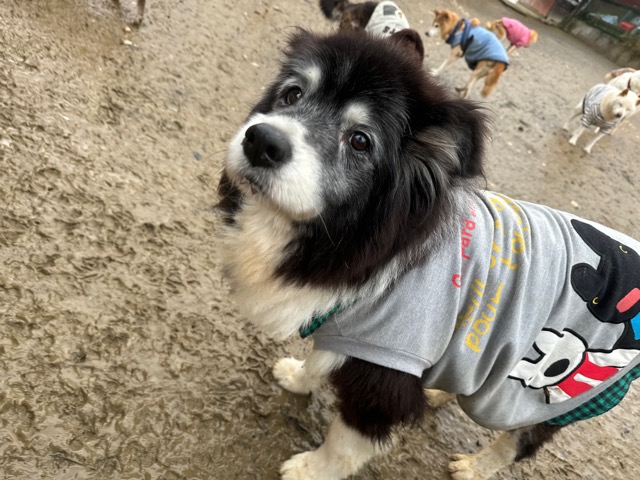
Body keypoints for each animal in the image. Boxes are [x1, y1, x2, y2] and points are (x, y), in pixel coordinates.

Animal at [216, 30, 640, 480]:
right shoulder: (346, 333)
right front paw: (296, 378)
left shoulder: (385, 372)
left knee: (519, 441)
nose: (261, 141)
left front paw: (311, 469)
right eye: (293, 93)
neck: (362, 242)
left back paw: (474, 467)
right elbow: (317, 363)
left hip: (541, 392)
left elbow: (346, 444)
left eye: (360, 140)